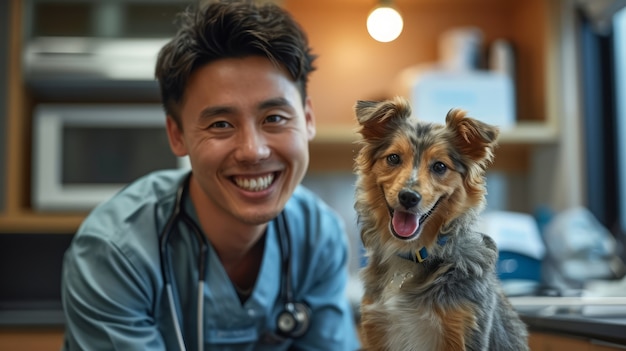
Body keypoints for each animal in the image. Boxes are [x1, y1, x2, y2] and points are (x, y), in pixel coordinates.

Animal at [352, 97, 528, 351]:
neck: (411, 256)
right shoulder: (376, 329)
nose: (408, 197)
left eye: (439, 167)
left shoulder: (463, 333)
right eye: (393, 158)